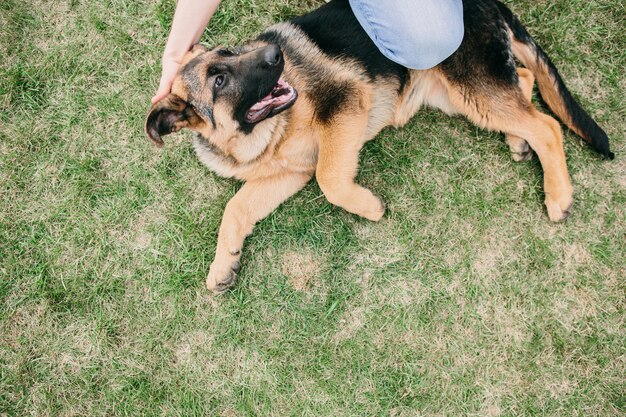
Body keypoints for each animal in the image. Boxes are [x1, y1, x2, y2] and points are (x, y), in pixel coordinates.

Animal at [145, 0, 608, 292]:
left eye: (232, 52)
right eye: (220, 79)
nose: (276, 54)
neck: (260, 136)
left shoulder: (345, 102)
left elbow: (330, 178)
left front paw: (367, 207)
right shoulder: (289, 173)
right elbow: (236, 207)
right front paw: (223, 264)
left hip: (469, 85)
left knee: (546, 125)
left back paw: (557, 195)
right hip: (458, 95)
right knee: (525, 85)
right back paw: (517, 141)